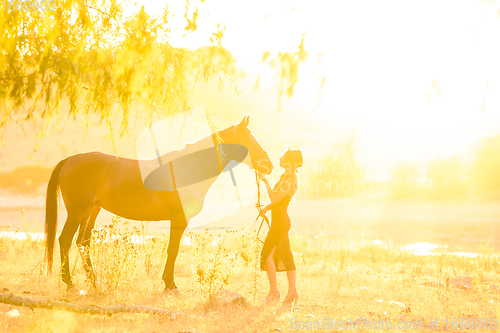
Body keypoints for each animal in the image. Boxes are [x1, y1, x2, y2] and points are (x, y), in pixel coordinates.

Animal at [44, 116, 274, 290]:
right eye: (249, 140)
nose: (268, 165)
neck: (189, 168)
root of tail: (68, 161)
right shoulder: (179, 220)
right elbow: (173, 250)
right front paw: (170, 284)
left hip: (92, 211)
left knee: (83, 243)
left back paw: (94, 283)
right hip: (78, 212)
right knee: (65, 240)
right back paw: (70, 283)